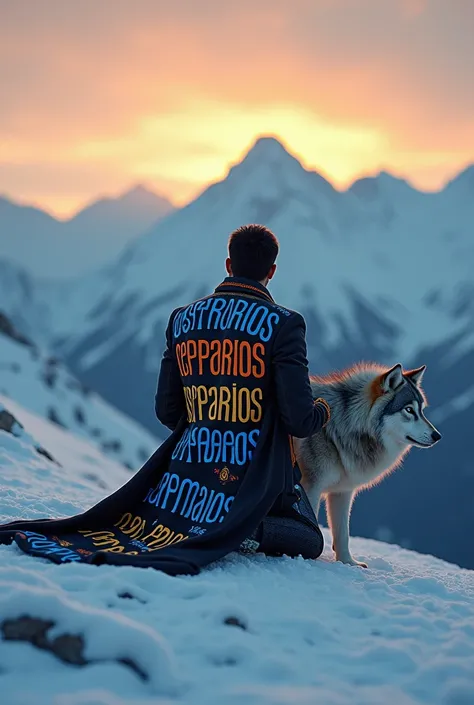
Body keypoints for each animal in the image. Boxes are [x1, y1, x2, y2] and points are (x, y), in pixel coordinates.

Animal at [294, 364, 442, 568]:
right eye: (409, 410)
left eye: (422, 410)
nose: (437, 436)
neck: (338, 428)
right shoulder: (311, 487)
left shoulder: (343, 492)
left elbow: (343, 534)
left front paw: (348, 563)